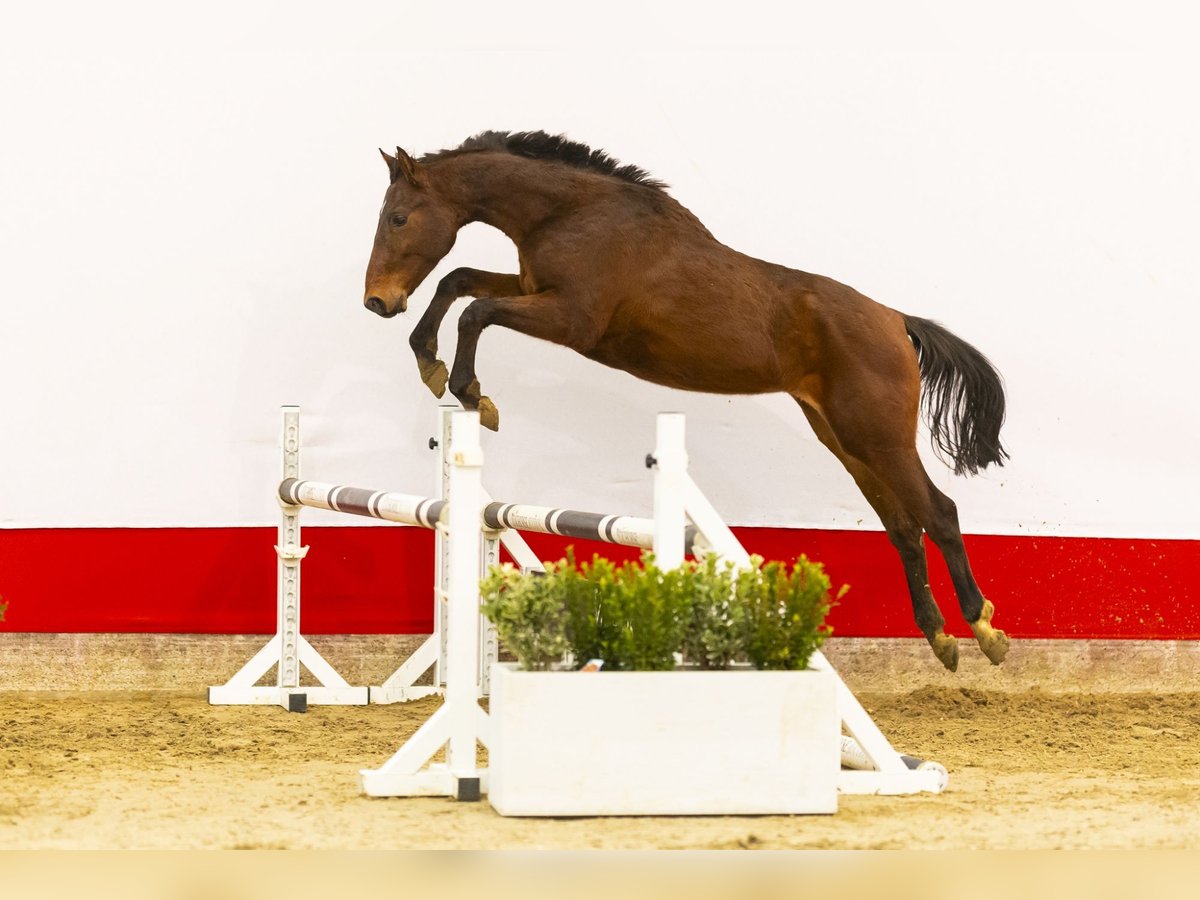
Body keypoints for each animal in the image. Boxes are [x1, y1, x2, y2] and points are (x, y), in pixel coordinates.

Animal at [362, 130, 1012, 672]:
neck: (570, 214)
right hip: (846, 441)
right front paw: (431, 361)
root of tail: (896, 320)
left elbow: (474, 309)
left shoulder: (570, 319)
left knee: (939, 513)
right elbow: (460, 282)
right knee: (903, 528)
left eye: (398, 218)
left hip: (879, 437)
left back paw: (984, 630)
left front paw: (469, 389)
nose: (377, 301)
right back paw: (941, 639)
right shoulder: (532, 290)